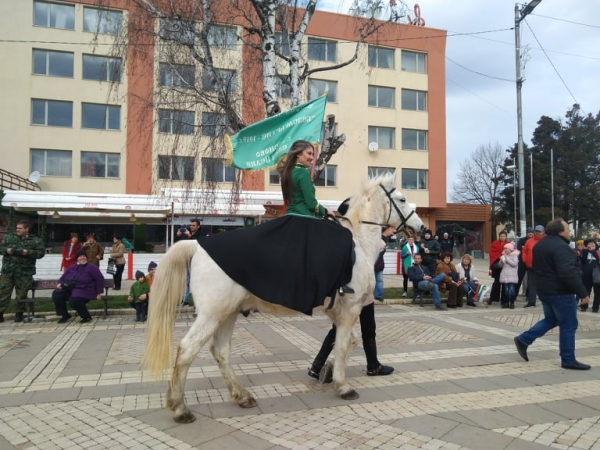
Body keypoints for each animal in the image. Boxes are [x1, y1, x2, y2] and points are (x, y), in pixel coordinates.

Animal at [142, 174, 422, 424]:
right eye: (402, 199)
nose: (421, 228)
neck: (359, 245)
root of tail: (197, 246)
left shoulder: (340, 313)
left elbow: (347, 342)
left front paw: (327, 370)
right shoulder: (351, 310)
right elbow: (344, 344)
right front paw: (343, 386)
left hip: (227, 313)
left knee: (220, 351)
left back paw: (241, 396)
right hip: (212, 315)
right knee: (187, 350)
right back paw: (180, 408)